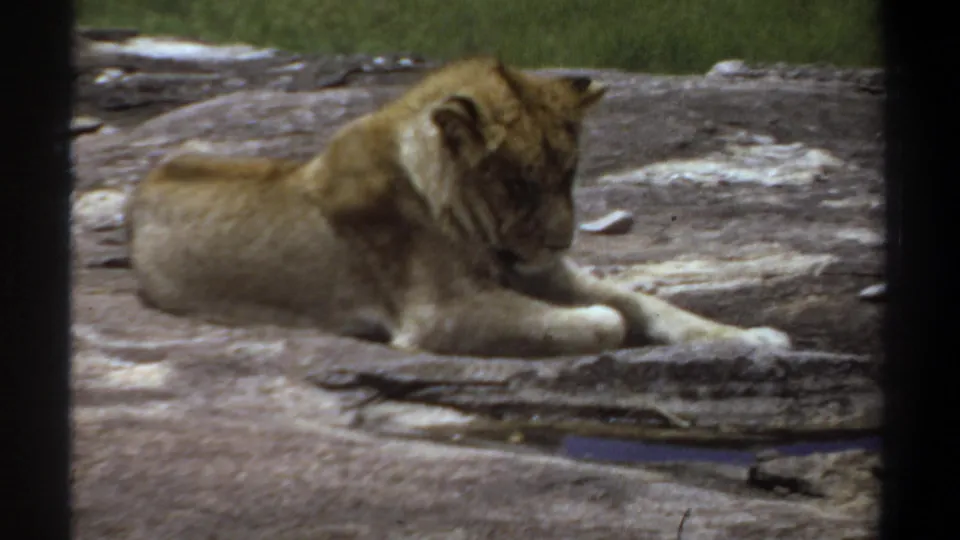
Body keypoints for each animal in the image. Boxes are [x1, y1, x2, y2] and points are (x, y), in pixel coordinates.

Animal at [126, 56, 791, 358]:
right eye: (520, 183)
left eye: (569, 174)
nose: (563, 241)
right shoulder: (439, 314)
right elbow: (606, 319)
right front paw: (605, 327)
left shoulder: (543, 272)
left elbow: (647, 302)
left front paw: (752, 337)